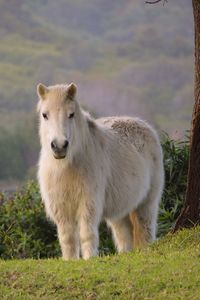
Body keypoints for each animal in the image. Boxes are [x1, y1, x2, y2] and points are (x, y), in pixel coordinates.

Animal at [36, 82, 163, 260]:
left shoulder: (88, 203)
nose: (59, 146)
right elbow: (67, 238)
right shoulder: (61, 208)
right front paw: (70, 260)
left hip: (147, 203)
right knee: (124, 236)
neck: (67, 166)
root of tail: (146, 126)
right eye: (45, 115)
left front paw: (89, 258)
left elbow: (86, 234)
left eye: (71, 114)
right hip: (120, 212)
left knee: (146, 230)